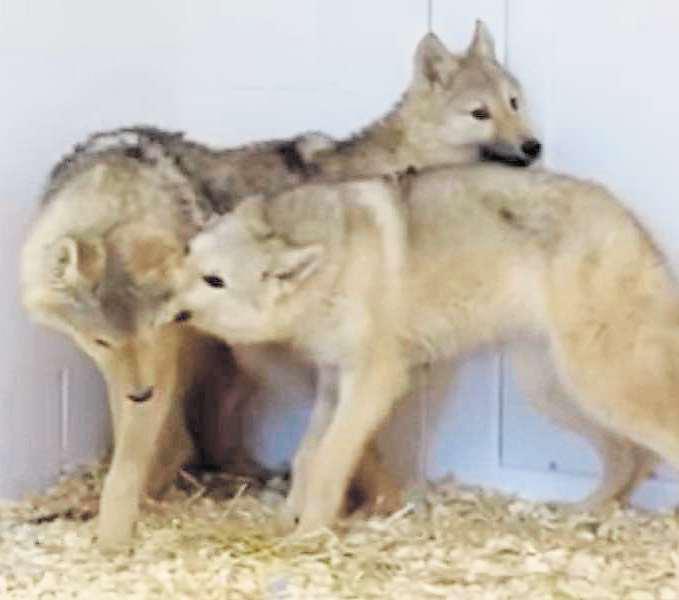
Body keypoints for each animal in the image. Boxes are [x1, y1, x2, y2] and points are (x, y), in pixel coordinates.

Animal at [161, 163, 677, 534]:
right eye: (186, 255)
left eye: (214, 281)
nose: (158, 292)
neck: (334, 265)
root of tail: (632, 224)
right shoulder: (333, 383)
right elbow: (306, 456)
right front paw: (292, 519)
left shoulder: (374, 381)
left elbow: (328, 460)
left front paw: (309, 534)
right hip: (555, 392)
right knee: (626, 459)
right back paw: (584, 511)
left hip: (601, 387)